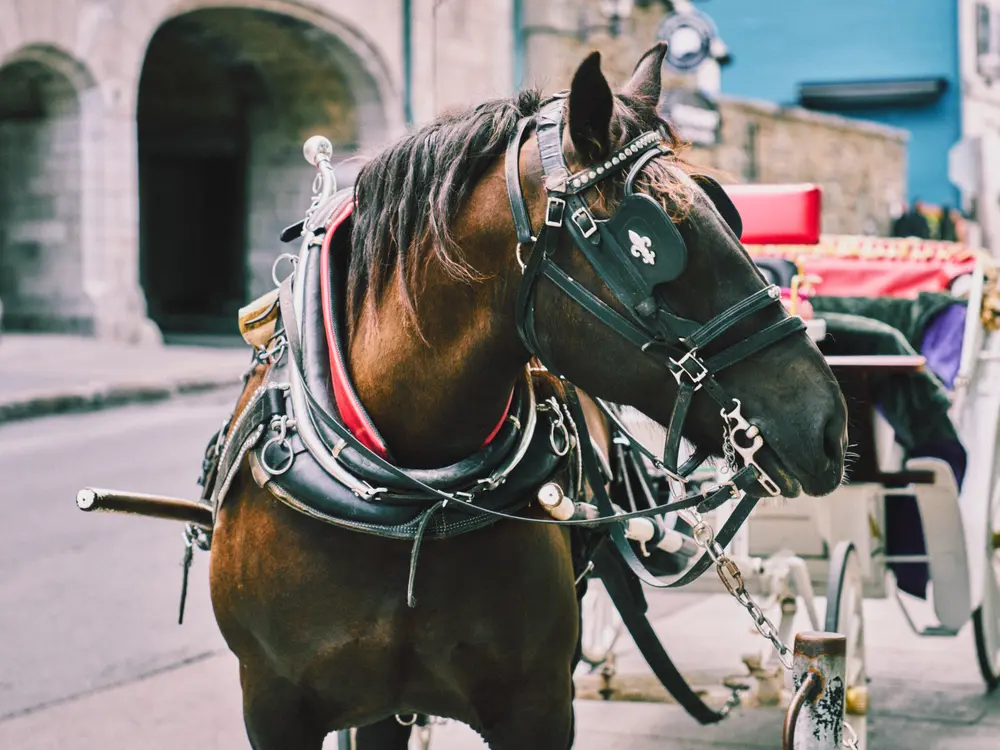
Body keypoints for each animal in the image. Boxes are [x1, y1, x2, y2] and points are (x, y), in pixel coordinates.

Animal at [206, 43, 847, 750]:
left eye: (725, 211)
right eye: (653, 240)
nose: (828, 424)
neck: (405, 503)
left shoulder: (537, 704)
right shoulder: (276, 706)